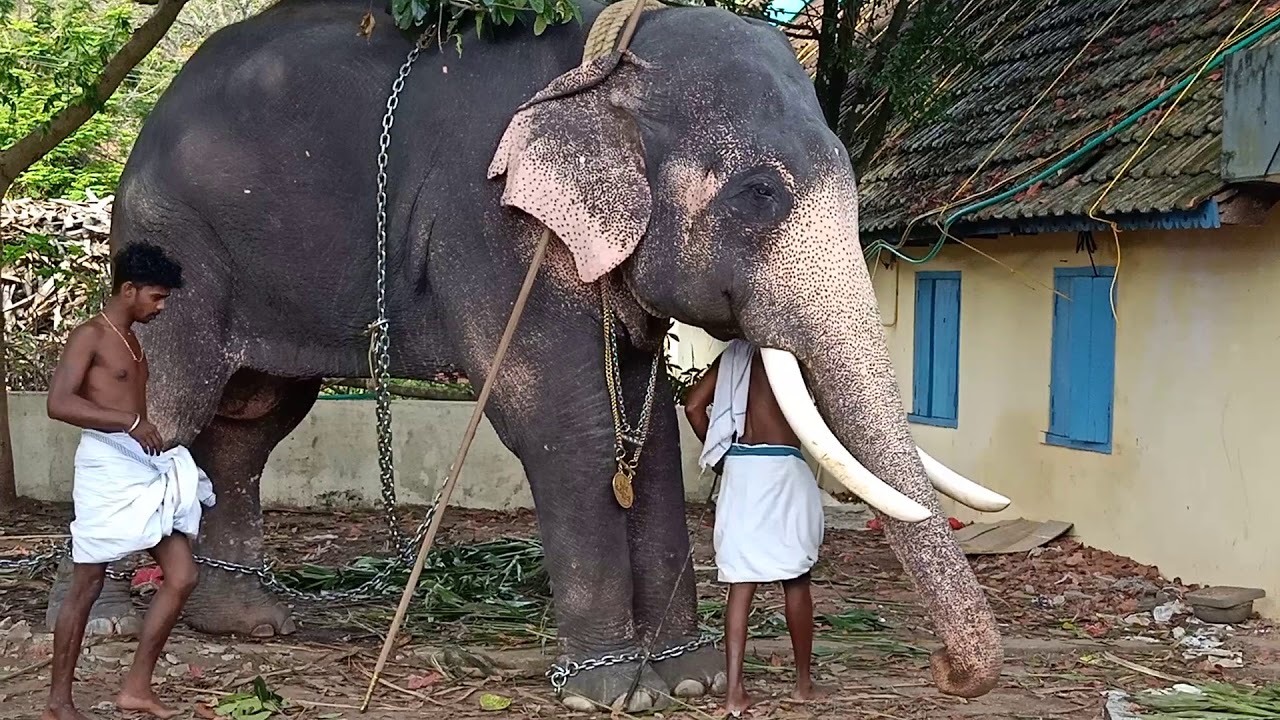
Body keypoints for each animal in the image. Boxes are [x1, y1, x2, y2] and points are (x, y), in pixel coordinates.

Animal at [45, 0, 1013, 709]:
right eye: (757, 196)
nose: (945, 674)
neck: (604, 63)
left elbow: (645, 442)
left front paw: (689, 679)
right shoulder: (496, 228)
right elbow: (565, 425)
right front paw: (612, 692)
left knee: (249, 422)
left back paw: (248, 622)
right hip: (176, 245)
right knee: (167, 404)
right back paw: (101, 623)